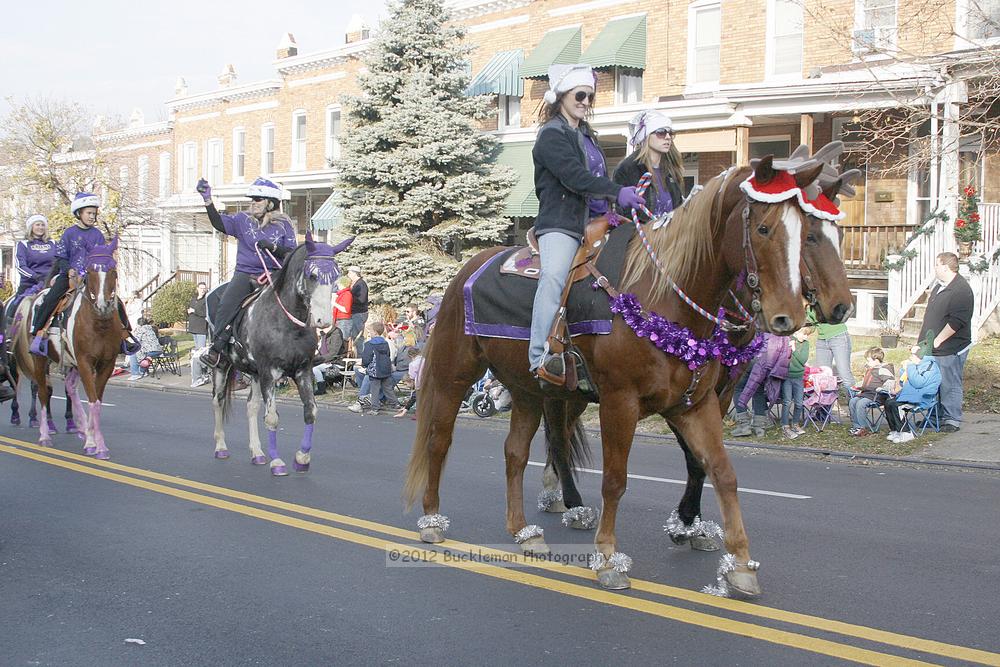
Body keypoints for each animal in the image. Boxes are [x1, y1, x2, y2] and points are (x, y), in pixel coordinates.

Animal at [402, 158, 824, 596]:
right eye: (763, 229)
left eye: (806, 232)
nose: (789, 316)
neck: (662, 298)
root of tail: (466, 271)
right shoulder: (620, 402)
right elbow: (615, 480)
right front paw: (607, 558)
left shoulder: (696, 404)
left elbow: (720, 472)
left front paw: (739, 563)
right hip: (454, 376)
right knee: (439, 441)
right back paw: (432, 521)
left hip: (527, 389)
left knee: (516, 453)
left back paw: (523, 531)